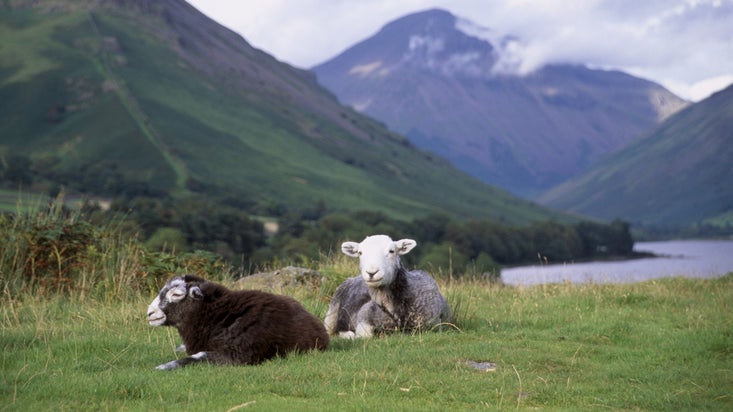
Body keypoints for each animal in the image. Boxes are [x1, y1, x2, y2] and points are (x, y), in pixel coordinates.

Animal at [324, 235, 452, 338]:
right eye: (360, 253)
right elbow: (364, 335)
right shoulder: (364, 314)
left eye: (392, 251)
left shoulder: (434, 325)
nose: (371, 272)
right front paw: (348, 334)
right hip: (331, 313)